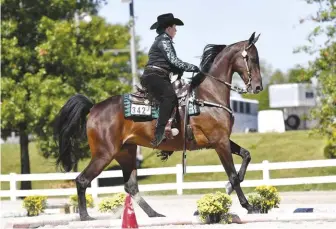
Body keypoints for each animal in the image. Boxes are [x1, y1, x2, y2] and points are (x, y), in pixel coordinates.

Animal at [53, 31, 262, 220]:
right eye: (252, 58)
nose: (258, 87)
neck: (207, 95)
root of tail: (94, 107)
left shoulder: (222, 140)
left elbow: (246, 156)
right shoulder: (220, 142)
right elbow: (233, 175)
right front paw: (248, 206)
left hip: (126, 152)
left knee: (131, 186)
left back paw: (155, 214)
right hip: (104, 154)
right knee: (82, 180)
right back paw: (85, 216)